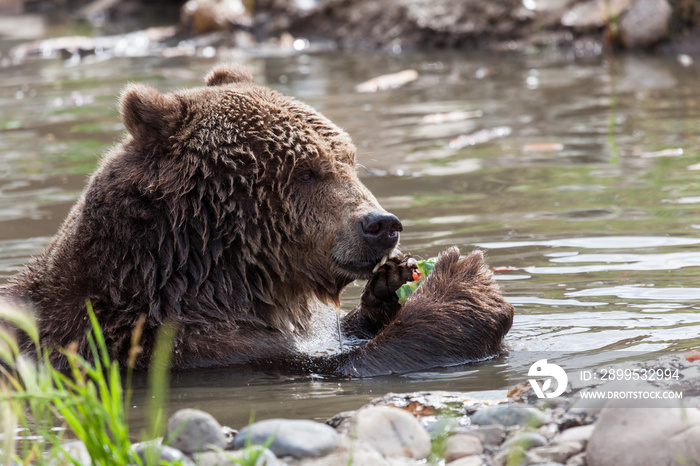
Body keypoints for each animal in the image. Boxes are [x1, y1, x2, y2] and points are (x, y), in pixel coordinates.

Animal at [1, 64, 516, 374]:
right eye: (307, 171)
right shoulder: (183, 346)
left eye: (349, 159)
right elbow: (344, 366)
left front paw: (389, 286)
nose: (381, 224)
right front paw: (462, 284)